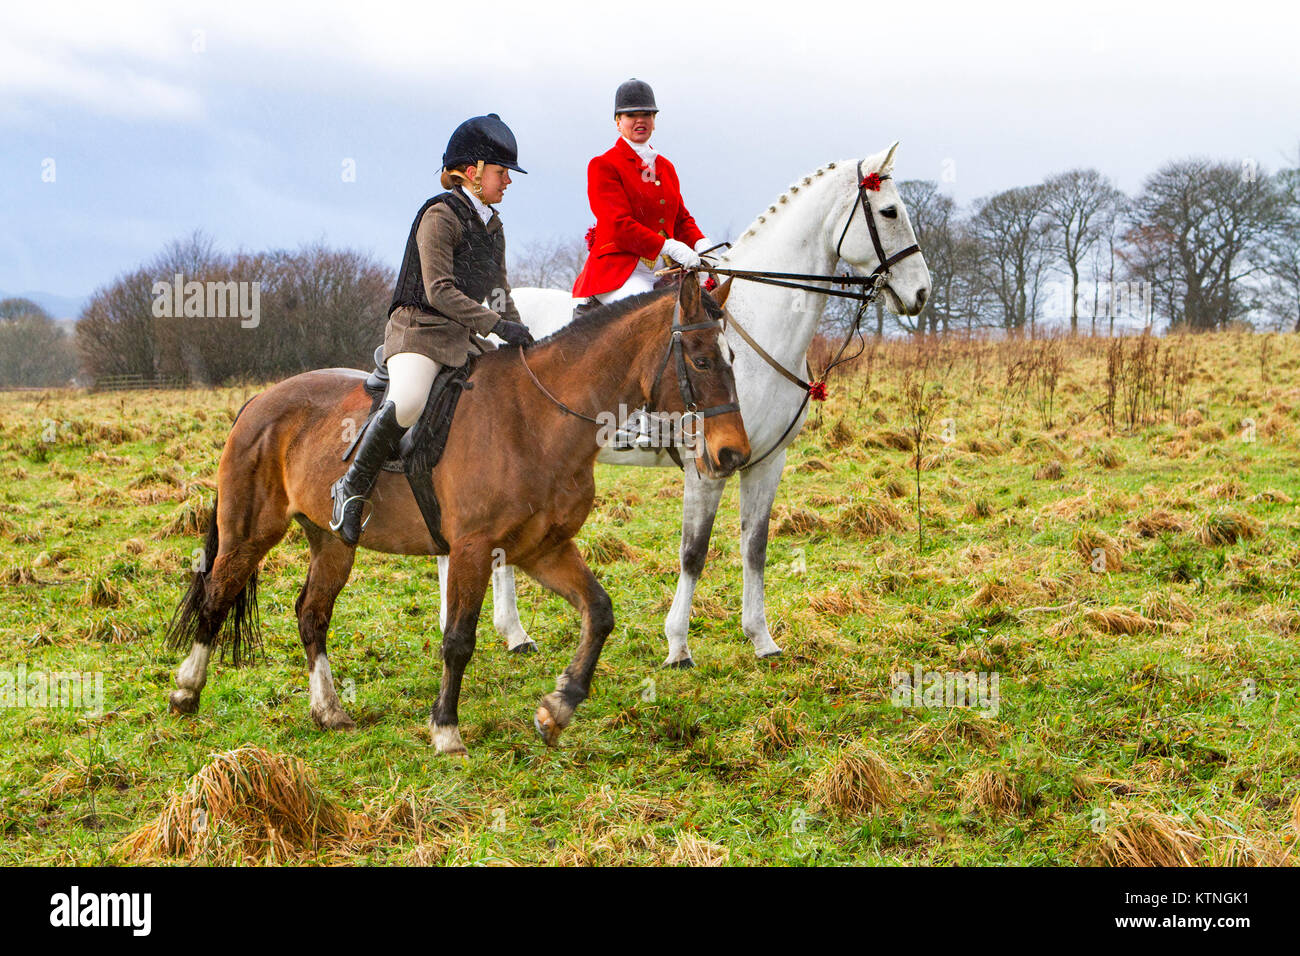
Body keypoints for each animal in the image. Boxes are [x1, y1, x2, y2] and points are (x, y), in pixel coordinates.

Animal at [163, 278, 749, 755]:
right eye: (701, 360)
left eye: (732, 359)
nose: (732, 454)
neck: (540, 416)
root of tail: (260, 400)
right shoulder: (473, 548)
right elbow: (459, 638)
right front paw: (446, 729)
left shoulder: (543, 549)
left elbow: (600, 612)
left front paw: (557, 709)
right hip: (249, 532)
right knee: (216, 596)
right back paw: (187, 690)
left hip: (332, 543)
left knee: (312, 614)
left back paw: (328, 711)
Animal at [478, 142, 931, 666]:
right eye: (890, 211)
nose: (921, 292)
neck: (754, 328)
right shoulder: (707, 467)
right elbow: (693, 553)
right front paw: (677, 645)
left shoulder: (767, 462)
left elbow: (755, 547)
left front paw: (761, 638)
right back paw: (513, 631)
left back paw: (514, 634)